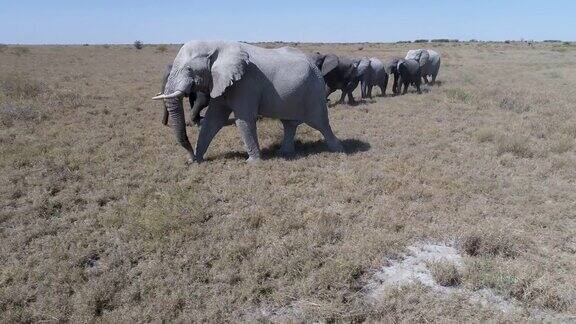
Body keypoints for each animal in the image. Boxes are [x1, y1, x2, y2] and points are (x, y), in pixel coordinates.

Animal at [152, 41, 342, 162]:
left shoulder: (246, 84)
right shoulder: (220, 82)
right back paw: (285, 152)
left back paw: (338, 149)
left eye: (189, 69)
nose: (189, 158)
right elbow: (213, 120)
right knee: (289, 123)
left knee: (320, 122)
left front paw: (253, 162)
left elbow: (244, 120)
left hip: (314, 90)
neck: (217, 44)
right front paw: (198, 160)